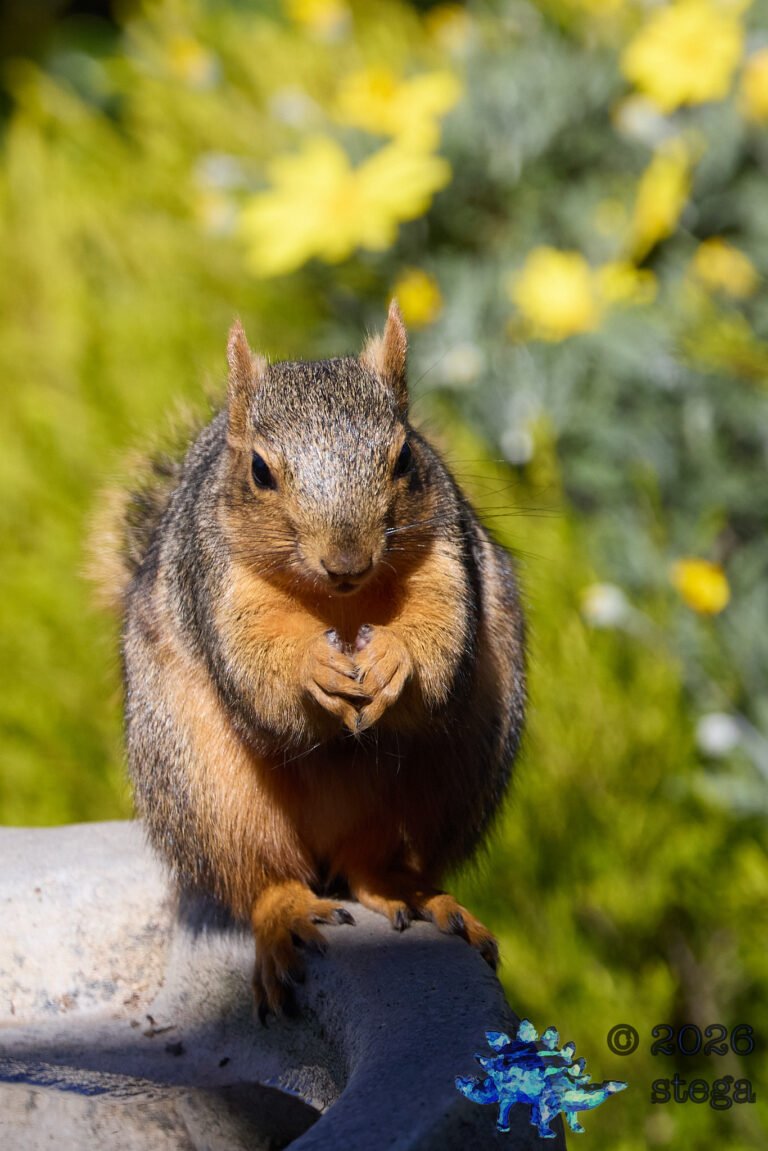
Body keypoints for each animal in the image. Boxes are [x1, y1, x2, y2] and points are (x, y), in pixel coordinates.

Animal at [104, 301, 526, 1019]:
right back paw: (286, 916)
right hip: (204, 786)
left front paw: (392, 659)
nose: (347, 561)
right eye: (259, 471)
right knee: (260, 878)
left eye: (405, 456)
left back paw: (409, 891)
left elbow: (440, 641)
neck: (340, 607)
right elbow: (258, 670)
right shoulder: (218, 581)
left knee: (372, 860)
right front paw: (313, 670)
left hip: (457, 768)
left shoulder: (448, 558)